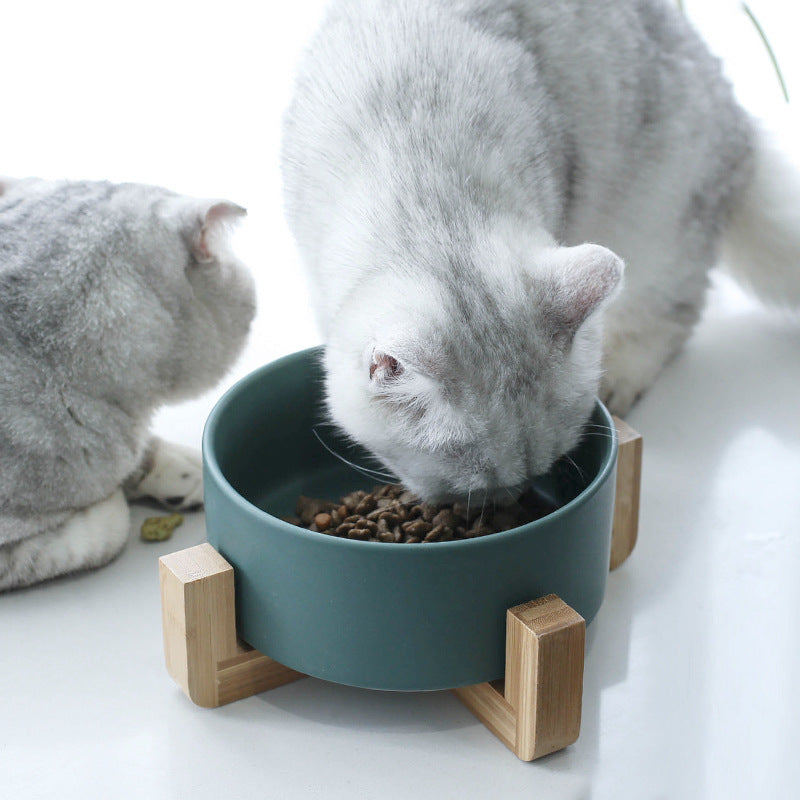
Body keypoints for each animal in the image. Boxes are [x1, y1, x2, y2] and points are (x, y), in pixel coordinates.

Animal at [280, 0, 800, 500]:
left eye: (541, 470)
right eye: (473, 487)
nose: (513, 499)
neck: (425, 185)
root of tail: (742, 128)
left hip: (659, 220)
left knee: (675, 312)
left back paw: (623, 371)